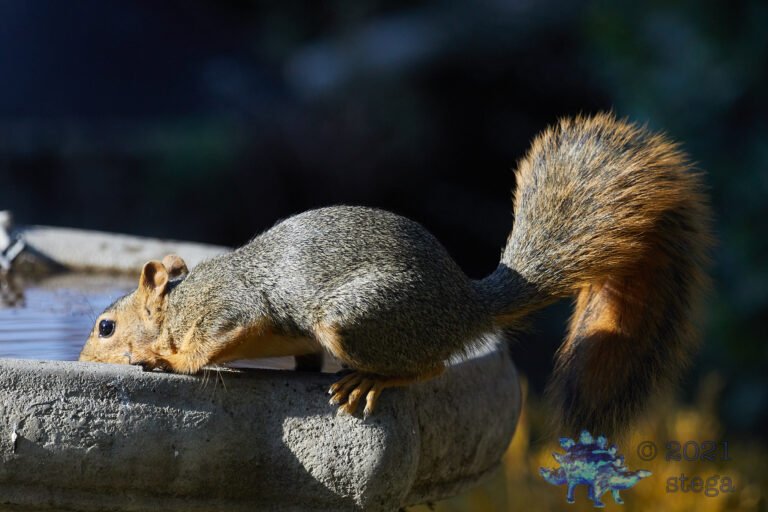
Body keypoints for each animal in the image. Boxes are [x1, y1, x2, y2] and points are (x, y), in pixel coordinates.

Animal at [79, 113, 710, 436]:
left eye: (105, 327)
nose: (82, 360)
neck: (178, 305)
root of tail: (465, 305)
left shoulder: (228, 310)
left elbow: (207, 348)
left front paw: (162, 360)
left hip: (358, 315)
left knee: (431, 366)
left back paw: (371, 380)